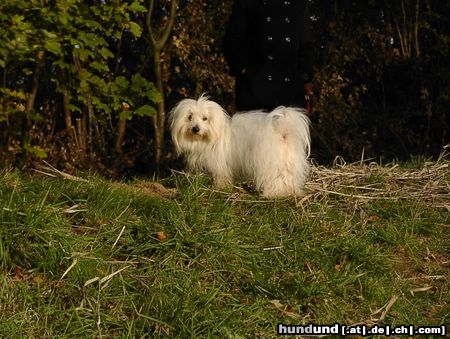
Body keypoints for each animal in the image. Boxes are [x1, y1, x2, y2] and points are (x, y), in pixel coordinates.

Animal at [169, 95, 310, 198]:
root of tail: (283, 132)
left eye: (205, 118)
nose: (195, 129)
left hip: (269, 164)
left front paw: (220, 188)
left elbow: (221, 177)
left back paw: (271, 194)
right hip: (287, 164)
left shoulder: (220, 165)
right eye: (189, 117)